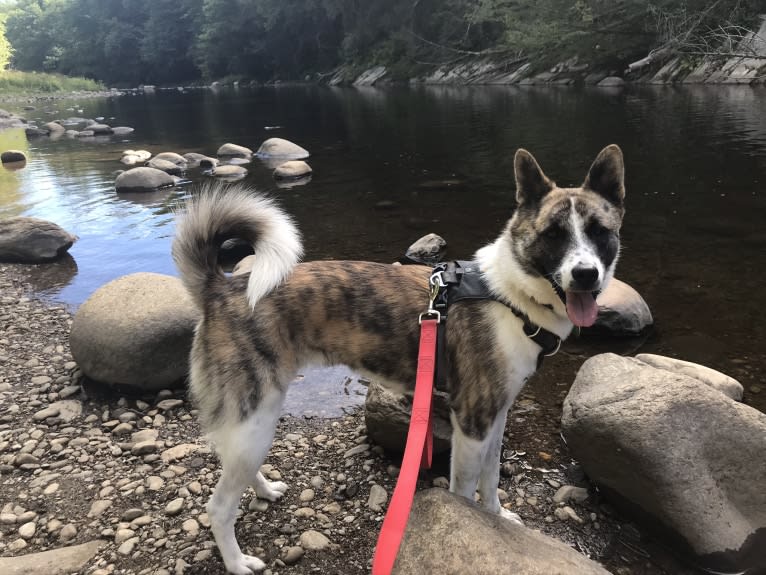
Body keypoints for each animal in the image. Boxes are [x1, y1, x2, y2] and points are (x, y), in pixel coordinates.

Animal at [171, 145, 628, 575]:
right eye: (553, 234)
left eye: (599, 232)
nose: (586, 274)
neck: (510, 294)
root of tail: (221, 288)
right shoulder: (472, 423)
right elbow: (466, 490)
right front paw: (476, 524)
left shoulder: (495, 417)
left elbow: (492, 476)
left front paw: (497, 516)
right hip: (255, 414)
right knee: (218, 505)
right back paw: (236, 561)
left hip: (254, 420)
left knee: (235, 464)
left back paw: (265, 490)